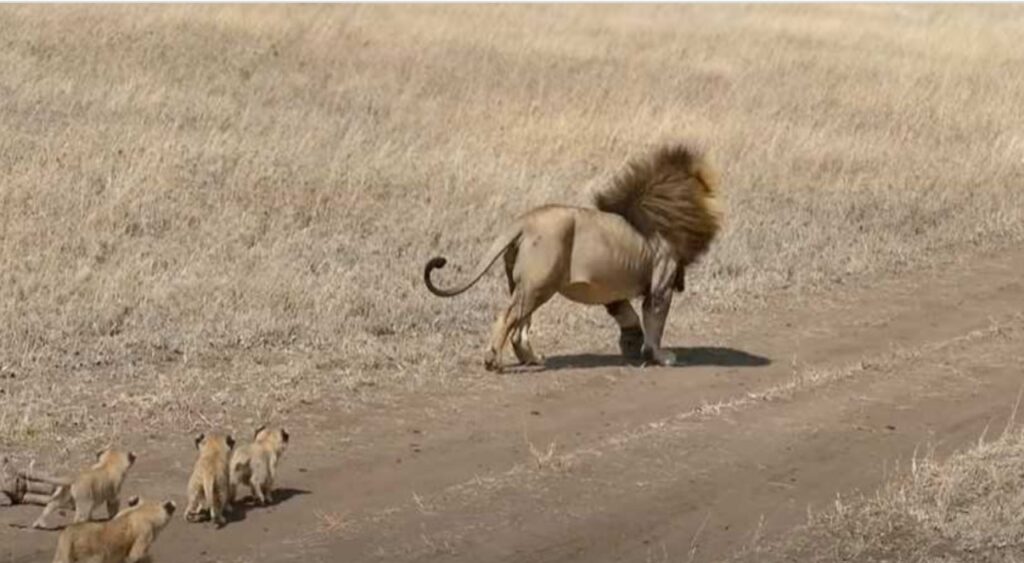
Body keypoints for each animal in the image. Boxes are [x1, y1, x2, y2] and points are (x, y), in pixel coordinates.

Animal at [421, 145, 720, 372]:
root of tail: (524, 221)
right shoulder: (661, 284)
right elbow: (655, 324)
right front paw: (659, 356)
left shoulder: (612, 288)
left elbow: (628, 315)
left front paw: (631, 344)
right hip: (539, 284)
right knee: (507, 318)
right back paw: (493, 360)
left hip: (526, 284)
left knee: (520, 327)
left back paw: (532, 359)